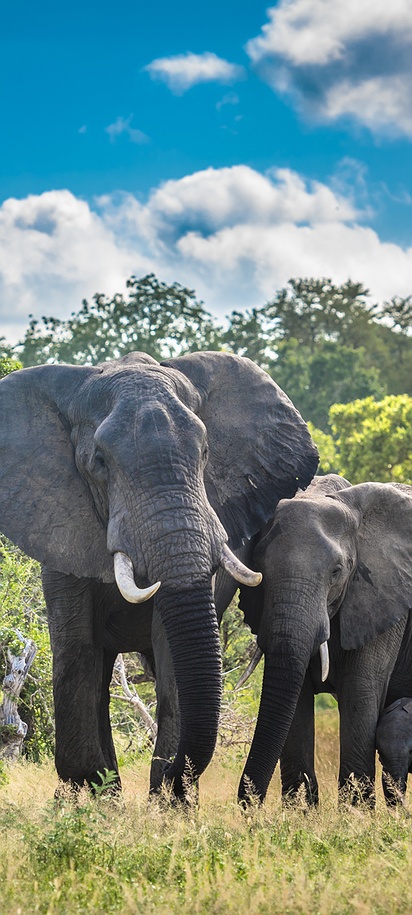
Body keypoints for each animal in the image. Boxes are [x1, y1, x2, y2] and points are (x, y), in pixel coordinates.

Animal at [0, 350, 318, 799]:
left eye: (205, 452)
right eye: (99, 462)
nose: (169, 772)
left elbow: (172, 648)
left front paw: (170, 800)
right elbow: (77, 649)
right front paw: (96, 798)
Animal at [237, 473, 412, 807]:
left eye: (336, 571)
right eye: (260, 567)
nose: (249, 805)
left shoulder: (384, 600)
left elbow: (360, 690)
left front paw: (356, 812)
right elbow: (297, 697)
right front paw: (299, 813)